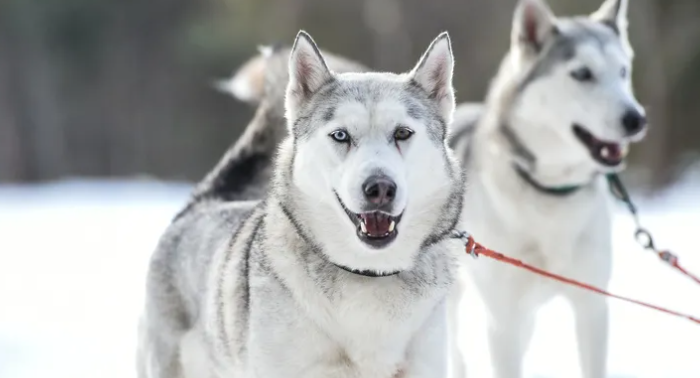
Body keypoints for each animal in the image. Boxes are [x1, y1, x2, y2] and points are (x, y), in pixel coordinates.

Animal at [446, 0, 648, 378]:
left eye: (623, 71)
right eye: (582, 73)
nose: (636, 119)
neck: (553, 192)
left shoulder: (592, 307)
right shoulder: (504, 323)